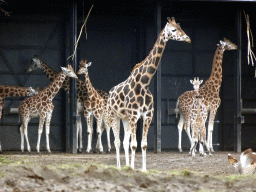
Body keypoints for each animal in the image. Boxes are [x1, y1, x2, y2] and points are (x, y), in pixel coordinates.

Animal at [107, 17, 190, 171]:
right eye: (173, 29)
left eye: (180, 26)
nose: (188, 38)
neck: (144, 83)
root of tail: (109, 93)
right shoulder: (134, 116)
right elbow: (134, 145)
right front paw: (133, 168)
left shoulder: (147, 116)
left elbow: (143, 144)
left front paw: (142, 169)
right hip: (113, 115)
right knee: (117, 141)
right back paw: (120, 167)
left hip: (125, 118)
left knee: (125, 141)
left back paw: (126, 166)